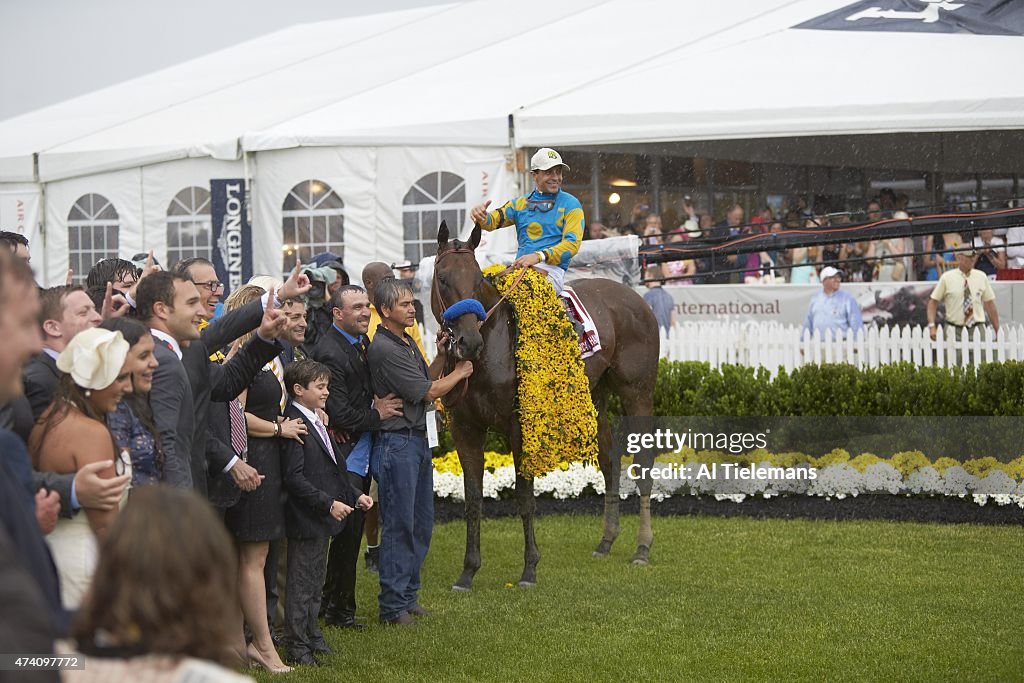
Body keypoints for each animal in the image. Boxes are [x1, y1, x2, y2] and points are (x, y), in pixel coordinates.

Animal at [430, 219, 655, 589]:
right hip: (595, 395)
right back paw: (606, 541)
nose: (469, 342)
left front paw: (529, 568)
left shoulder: (519, 428)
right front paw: (468, 571)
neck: (492, 347)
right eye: (444, 278)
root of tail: (634, 297)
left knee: (643, 463)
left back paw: (642, 547)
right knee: (610, 460)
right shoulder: (466, 429)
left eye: (477, 279)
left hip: (637, 393)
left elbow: (524, 497)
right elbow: (473, 499)